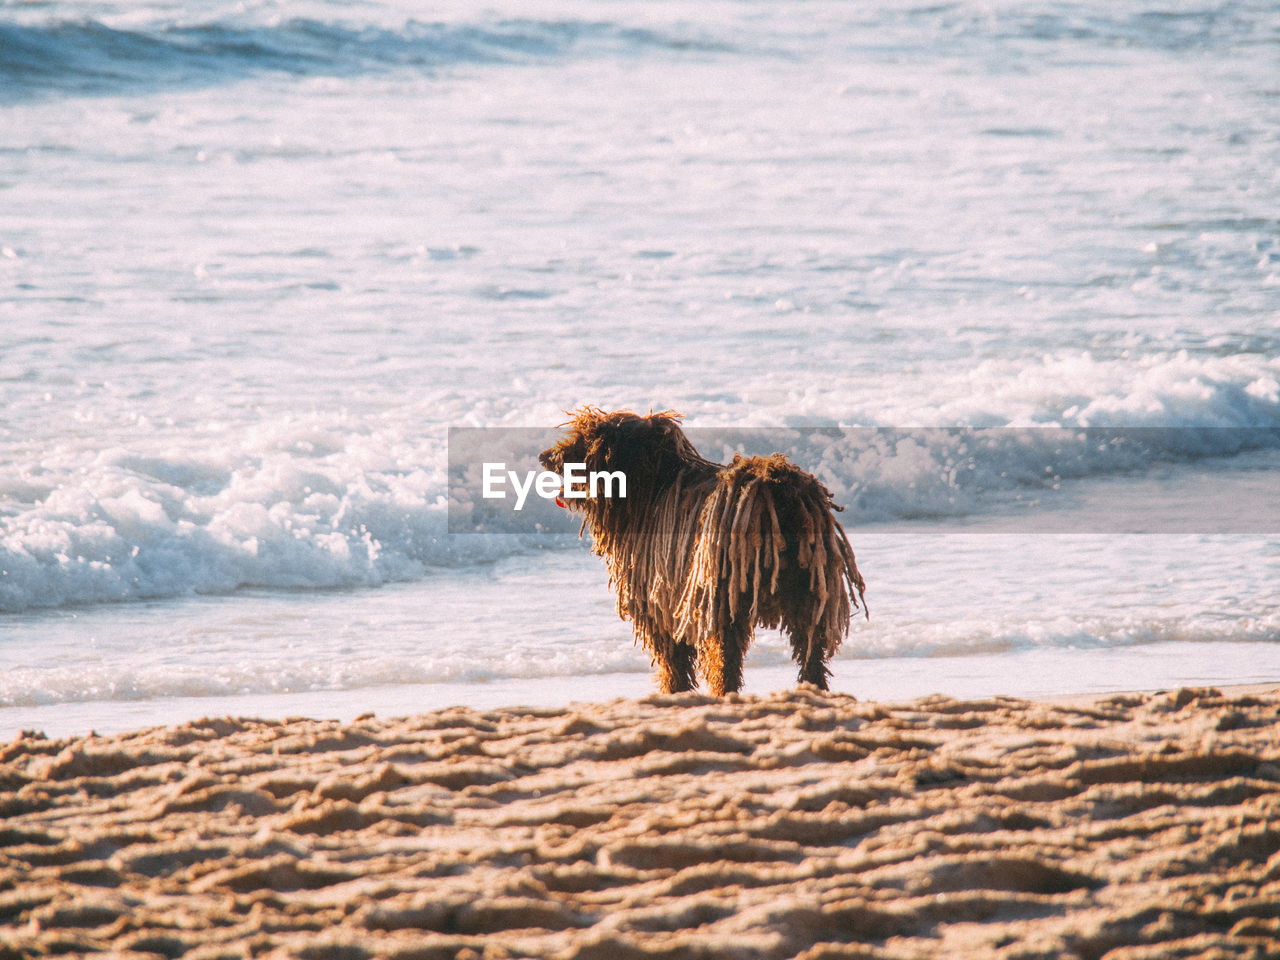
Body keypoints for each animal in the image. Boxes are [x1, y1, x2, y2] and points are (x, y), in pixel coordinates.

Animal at [540, 409, 870, 696]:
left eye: (582, 439)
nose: (546, 457)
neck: (650, 487)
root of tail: (776, 490)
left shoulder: (659, 600)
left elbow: (673, 659)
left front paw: (674, 691)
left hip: (724, 594)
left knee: (726, 656)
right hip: (812, 589)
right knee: (811, 652)